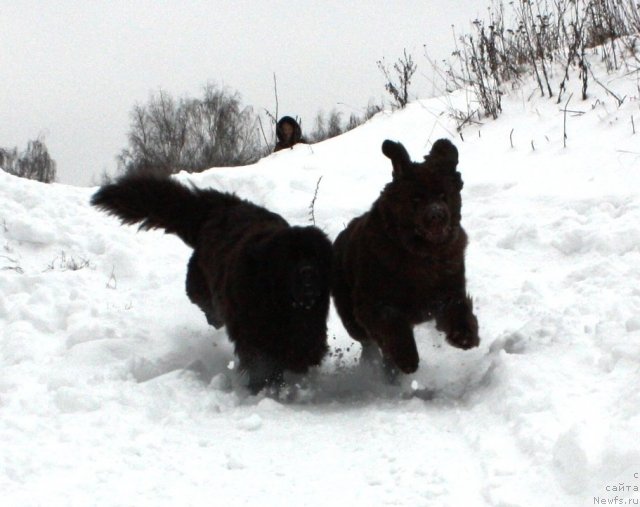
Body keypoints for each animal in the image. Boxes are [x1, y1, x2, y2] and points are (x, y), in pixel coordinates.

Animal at [92, 177, 332, 394]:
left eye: (316, 256)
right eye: (291, 259)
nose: (308, 272)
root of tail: (219, 209)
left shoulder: (310, 321)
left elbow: (306, 344)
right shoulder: (250, 330)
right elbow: (261, 360)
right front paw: (266, 386)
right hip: (199, 285)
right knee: (208, 307)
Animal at [332, 137, 478, 380]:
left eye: (443, 195)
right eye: (416, 198)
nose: (437, 214)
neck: (421, 256)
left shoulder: (449, 288)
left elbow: (458, 306)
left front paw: (465, 335)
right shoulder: (370, 304)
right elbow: (392, 322)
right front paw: (407, 358)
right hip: (350, 316)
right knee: (368, 343)